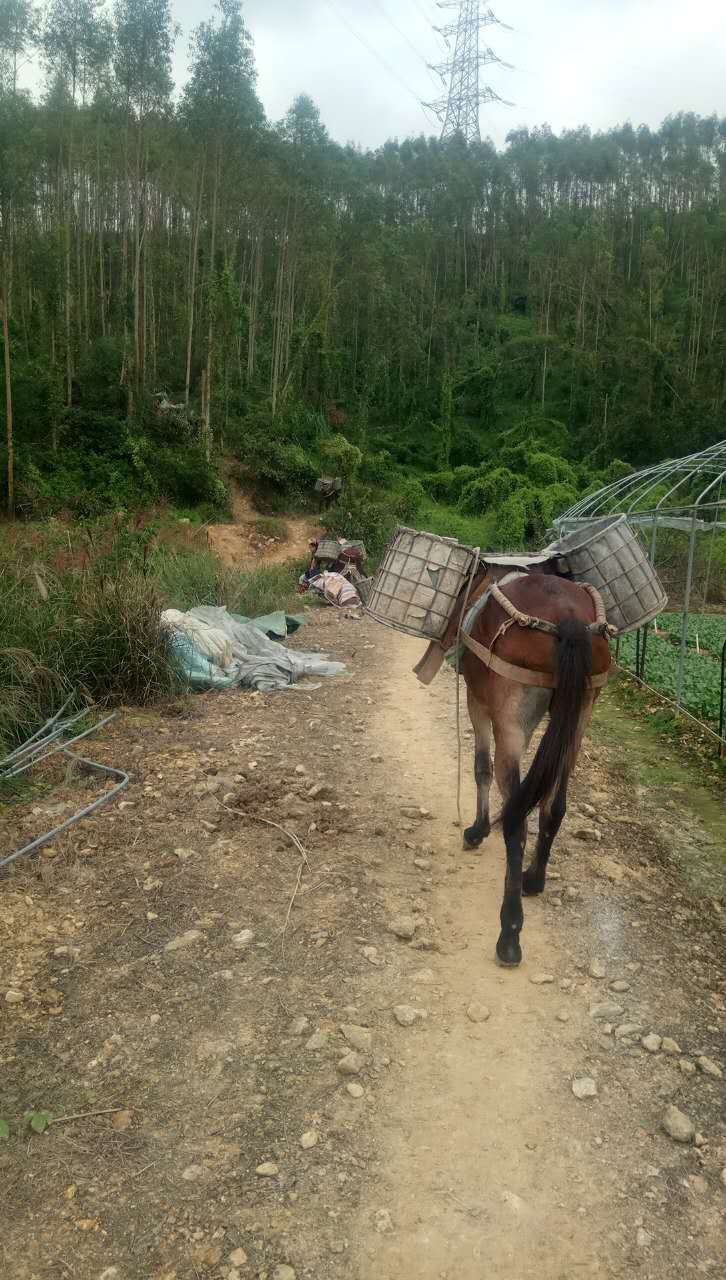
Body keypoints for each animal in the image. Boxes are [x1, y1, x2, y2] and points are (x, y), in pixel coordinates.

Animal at [416, 564, 612, 969]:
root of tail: (568, 616)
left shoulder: (478, 703)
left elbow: (481, 767)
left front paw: (476, 830)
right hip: (579, 718)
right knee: (553, 807)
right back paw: (533, 880)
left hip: (510, 721)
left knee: (518, 823)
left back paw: (509, 933)